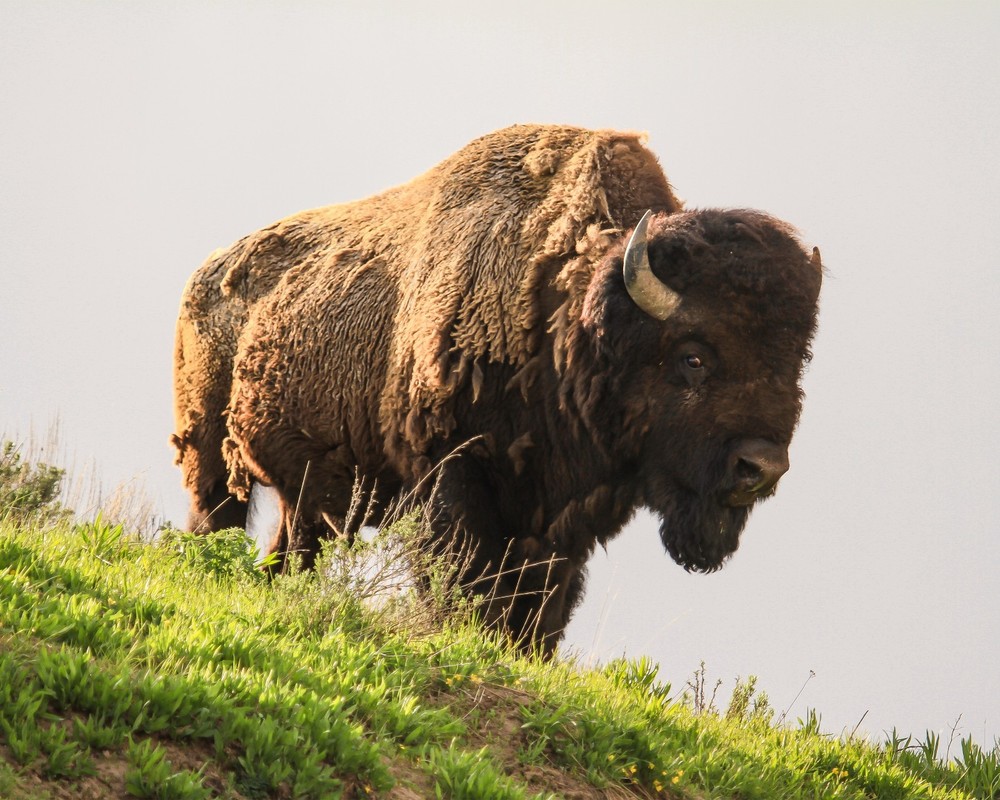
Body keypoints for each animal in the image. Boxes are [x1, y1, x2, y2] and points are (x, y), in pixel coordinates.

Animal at [172, 124, 821, 654]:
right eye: (693, 357)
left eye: (796, 363)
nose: (760, 468)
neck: (568, 318)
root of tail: (206, 274)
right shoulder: (452, 477)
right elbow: (464, 580)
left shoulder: (560, 525)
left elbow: (542, 609)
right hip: (208, 455)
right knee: (217, 517)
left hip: (310, 498)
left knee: (291, 548)